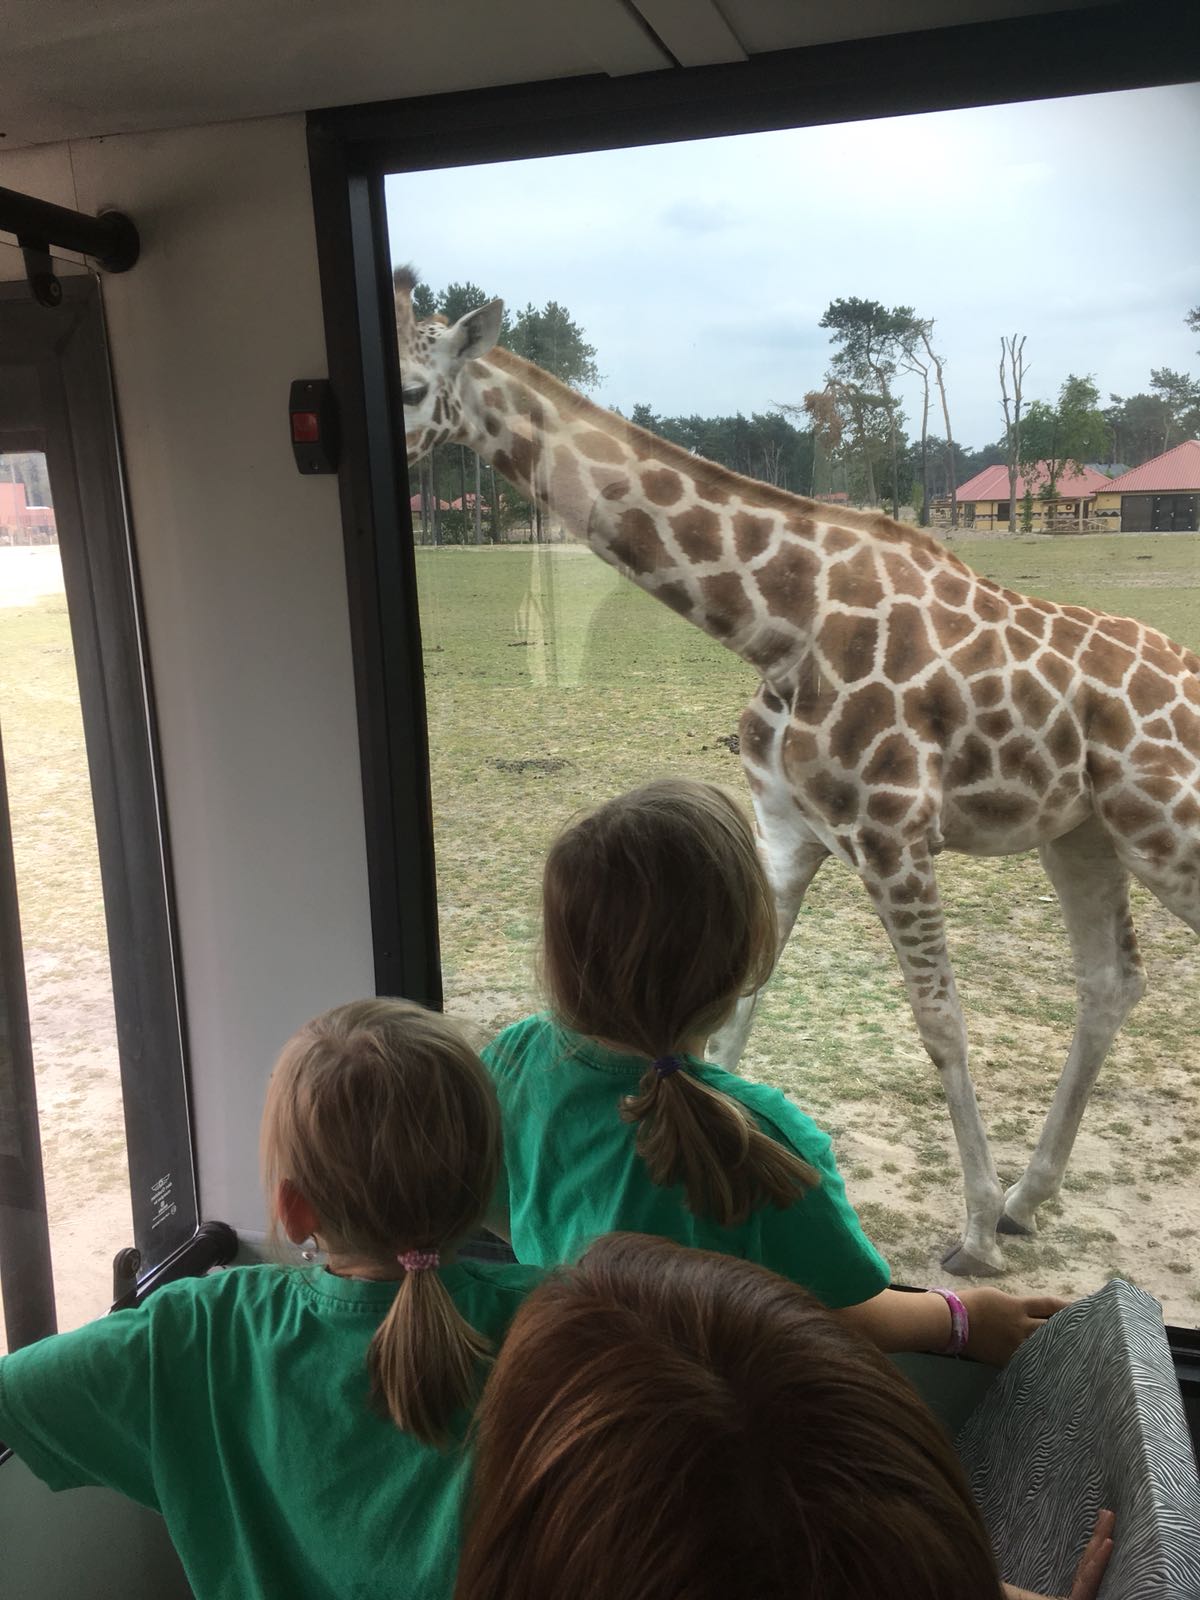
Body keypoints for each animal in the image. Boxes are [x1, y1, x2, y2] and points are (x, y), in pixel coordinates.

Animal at [400, 272, 1200, 1273]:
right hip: (1085, 834)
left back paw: (1010, 1207)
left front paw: (974, 1231)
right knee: (1110, 982)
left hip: (1167, 828)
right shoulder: (787, 830)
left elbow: (940, 1021)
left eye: (411, 387)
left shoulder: (894, 834)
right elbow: (739, 1003)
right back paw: (1030, 1196)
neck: (781, 625)